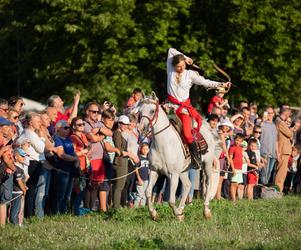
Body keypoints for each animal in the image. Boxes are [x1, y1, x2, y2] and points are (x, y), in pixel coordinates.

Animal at [136, 93, 216, 221]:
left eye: (152, 111)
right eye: (140, 111)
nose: (141, 128)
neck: (163, 144)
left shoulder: (173, 174)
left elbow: (171, 200)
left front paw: (178, 215)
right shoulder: (154, 171)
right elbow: (148, 192)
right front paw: (154, 213)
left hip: (207, 164)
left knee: (208, 183)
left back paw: (206, 211)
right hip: (183, 171)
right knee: (188, 185)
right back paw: (182, 208)